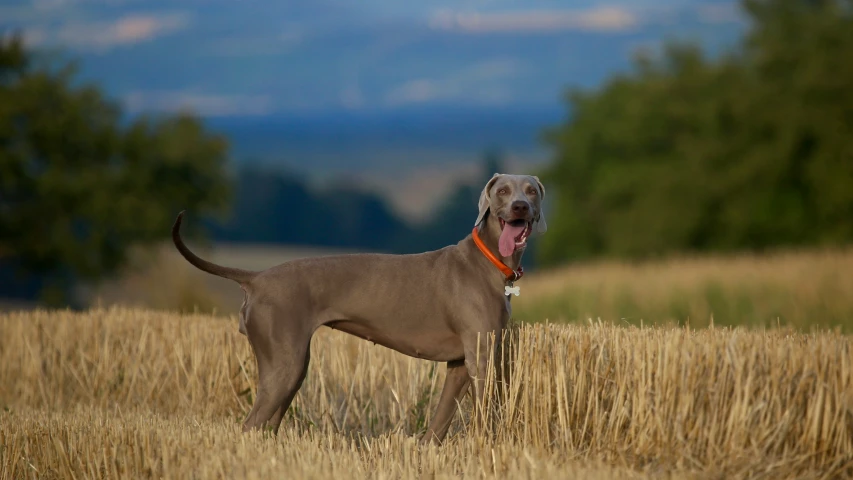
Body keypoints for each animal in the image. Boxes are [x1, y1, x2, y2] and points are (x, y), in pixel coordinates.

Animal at [172, 172, 544, 442]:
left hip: (292, 367)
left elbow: (440, 420)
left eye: (531, 191)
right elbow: (487, 409)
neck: (488, 259)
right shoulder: (480, 356)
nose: (521, 207)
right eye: (502, 191)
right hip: (284, 365)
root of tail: (257, 278)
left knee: (266, 425)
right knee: (250, 425)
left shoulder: (459, 364)